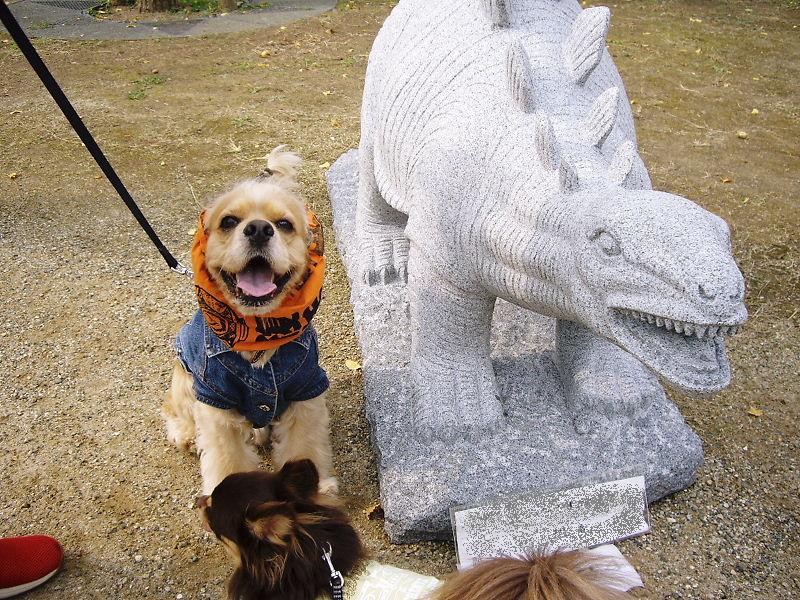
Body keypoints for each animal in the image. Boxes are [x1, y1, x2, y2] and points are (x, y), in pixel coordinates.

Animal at [163, 146, 337, 496]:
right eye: (229, 221)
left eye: (284, 224)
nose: (258, 229)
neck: (260, 332)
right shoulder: (215, 403)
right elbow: (227, 460)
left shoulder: (307, 392)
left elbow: (305, 447)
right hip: (185, 379)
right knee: (175, 408)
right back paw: (185, 434)